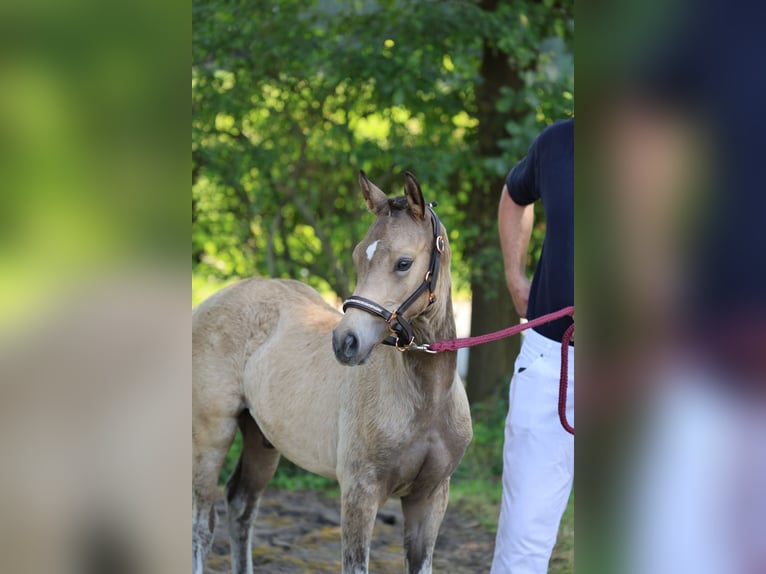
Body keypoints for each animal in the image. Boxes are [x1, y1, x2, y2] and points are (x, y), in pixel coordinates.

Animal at [192, 172, 474, 574]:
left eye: (404, 263)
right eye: (358, 255)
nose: (346, 342)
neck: (424, 401)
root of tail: (213, 300)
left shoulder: (430, 496)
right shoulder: (359, 494)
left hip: (261, 440)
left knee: (241, 507)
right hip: (211, 437)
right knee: (203, 525)